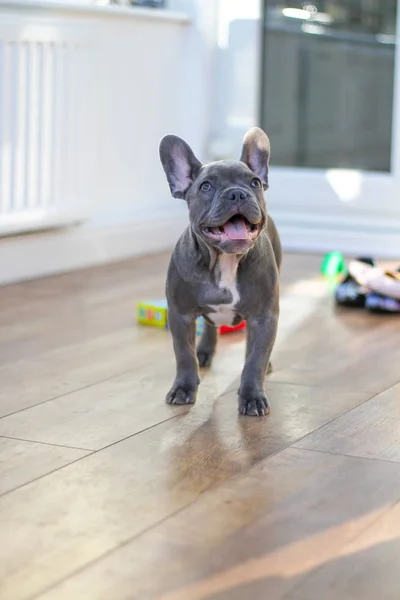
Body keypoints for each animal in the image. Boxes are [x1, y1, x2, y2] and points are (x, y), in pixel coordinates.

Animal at [159, 126, 282, 418]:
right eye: (206, 186)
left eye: (254, 183)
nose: (237, 193)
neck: (224, 260)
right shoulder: (180, 315)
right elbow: (183, 354)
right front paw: (184, 388)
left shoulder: (264, 317)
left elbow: (256, 359)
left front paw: (252, 396)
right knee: (210, 328)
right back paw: (204, 351)